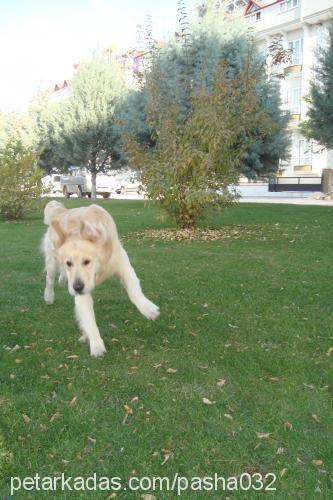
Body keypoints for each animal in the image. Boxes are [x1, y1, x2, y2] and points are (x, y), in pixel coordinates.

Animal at [41, 201, 160, 358]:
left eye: (87, 261)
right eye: (69, 263)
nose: (76, 288)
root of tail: (62, 210)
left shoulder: (122, 262)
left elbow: (134, 291)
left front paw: (149, 310)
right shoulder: (80, 287)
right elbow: (88, 318)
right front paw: (96, 345)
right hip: (52, 261)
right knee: (49, 279)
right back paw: (49, 297)